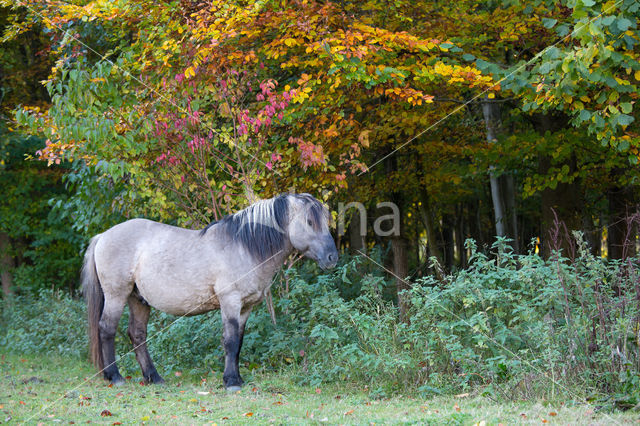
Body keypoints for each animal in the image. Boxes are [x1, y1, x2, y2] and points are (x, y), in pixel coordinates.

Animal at [80, 193, 340, 390]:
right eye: (310, 222)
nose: (332, 257)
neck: (244, 247)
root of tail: (103, 236)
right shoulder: (230, 302)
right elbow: (230, 341)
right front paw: (232, 382)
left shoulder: (246, 307)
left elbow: (239, 343)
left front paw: (237, 379)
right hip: (116, 295)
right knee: (107, 329)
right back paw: (115, 376)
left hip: (139, 299)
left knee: (137, 335)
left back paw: (154, 377)